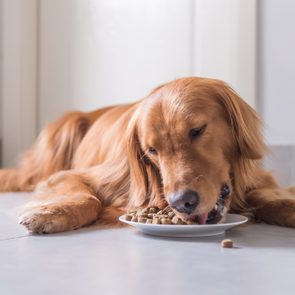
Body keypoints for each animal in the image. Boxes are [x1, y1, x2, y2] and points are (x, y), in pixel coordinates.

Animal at [0, 77, 295, 235]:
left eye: (197, 130)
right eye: (151, 151)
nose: (182, 203)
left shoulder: (259, 179)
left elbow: (268, 197)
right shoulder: (71, 176)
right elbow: (88, 198)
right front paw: (51, 213)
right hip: (63, 132)